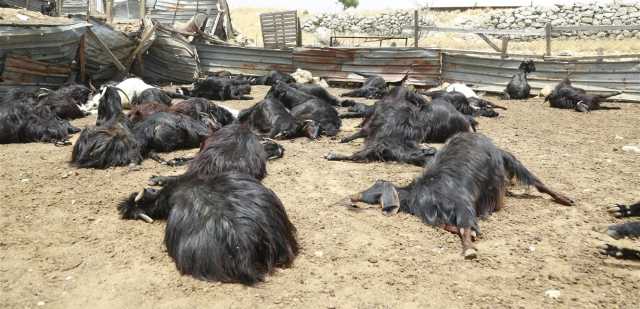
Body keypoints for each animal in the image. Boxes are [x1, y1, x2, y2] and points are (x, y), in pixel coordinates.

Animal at [350, 132, 576, 258]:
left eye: (374, 189)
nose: (353, 196)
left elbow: (463, 225)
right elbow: (452, 225)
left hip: (507, 167)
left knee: (535, 180)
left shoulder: (463, 205)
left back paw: (567, 199)